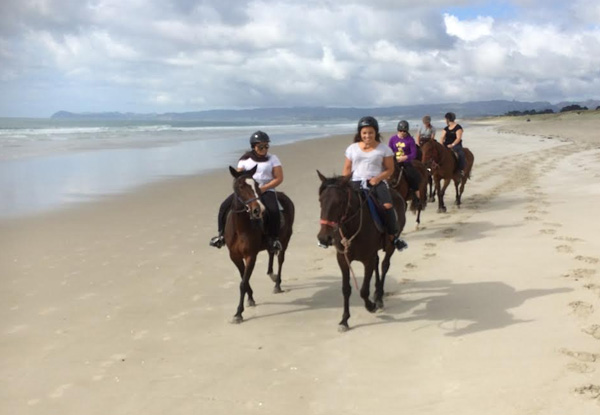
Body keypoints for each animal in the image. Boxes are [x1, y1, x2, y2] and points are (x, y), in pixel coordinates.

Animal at [224, 166, 294, 324]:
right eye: (240, 186)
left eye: (256, 185)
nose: (258, 210)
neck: (240, 228)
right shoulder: (234, 256)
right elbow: (244, 278)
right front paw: (250, 298)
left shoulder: (251, 255)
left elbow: (243, 282)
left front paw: (238, 313)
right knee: (271, 253)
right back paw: (271, 274)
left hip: (285, 239)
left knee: (280, 260)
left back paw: (277, 284)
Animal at [314, 171, 408, 334]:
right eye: (321, 200)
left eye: (339, 202)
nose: (324, 238)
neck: (352, 227)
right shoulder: (342, 259)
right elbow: (346, 289)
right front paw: (344, 320)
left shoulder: (367, 259)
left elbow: (364, 290)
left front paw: (371, 305)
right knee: (378, 263)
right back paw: (376, 294)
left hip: (390, 244)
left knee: (384, 265)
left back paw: (379, 298)